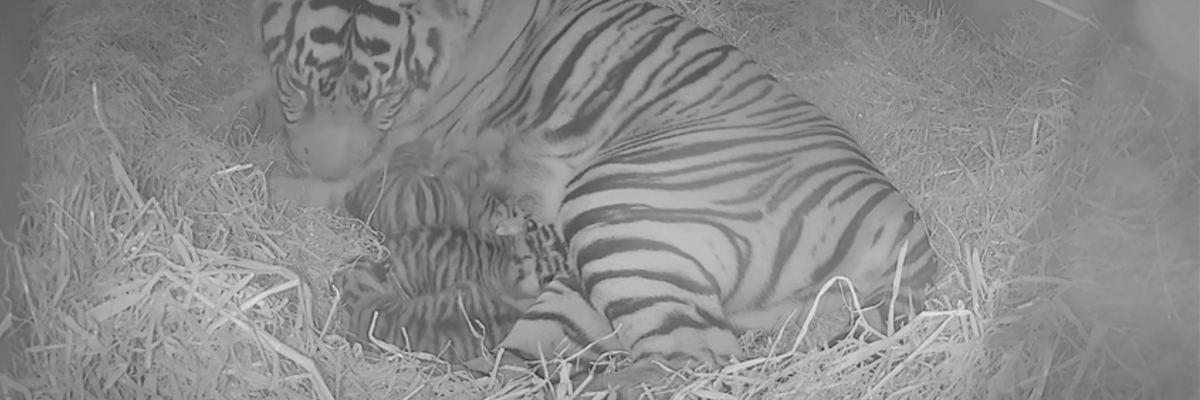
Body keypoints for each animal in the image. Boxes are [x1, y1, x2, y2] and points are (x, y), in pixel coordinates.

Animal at [250, 0, 936, 393]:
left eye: (382, 97)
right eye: (295, 82)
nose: (314, 153)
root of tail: (909, 231)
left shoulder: (398, 149)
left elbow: (339, 183)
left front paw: (274, 175)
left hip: (616, 204)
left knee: (699, 359)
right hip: (594, 286)